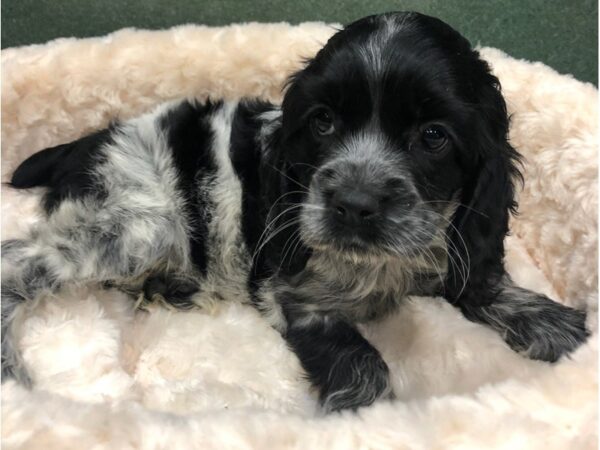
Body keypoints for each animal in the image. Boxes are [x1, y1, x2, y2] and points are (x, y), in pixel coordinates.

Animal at [2, 11, 588, 412]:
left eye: (433, 136)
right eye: (323, 122)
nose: (354, 204)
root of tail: (85, 142)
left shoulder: (454, 237)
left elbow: (478, 280)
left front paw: (553, 324)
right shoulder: (292, 290)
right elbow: (361, 363)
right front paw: (366, 415)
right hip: (136, 225)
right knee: (15, 263)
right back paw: (14, 379)